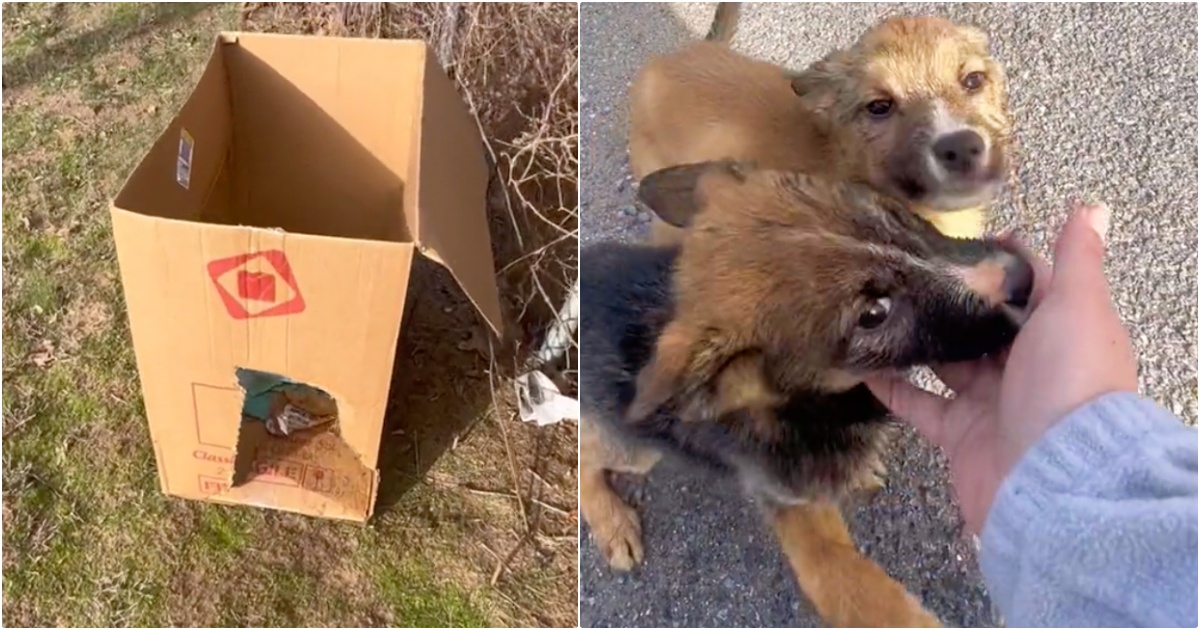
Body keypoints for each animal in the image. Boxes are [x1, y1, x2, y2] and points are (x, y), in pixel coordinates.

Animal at [580, 160, 1032, 624]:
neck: (817, 401)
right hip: (635, 448)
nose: (1023, 276)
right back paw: (612, 522)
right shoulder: (798, 514)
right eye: (874, 314)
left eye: (893, 211)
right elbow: (863, 594)